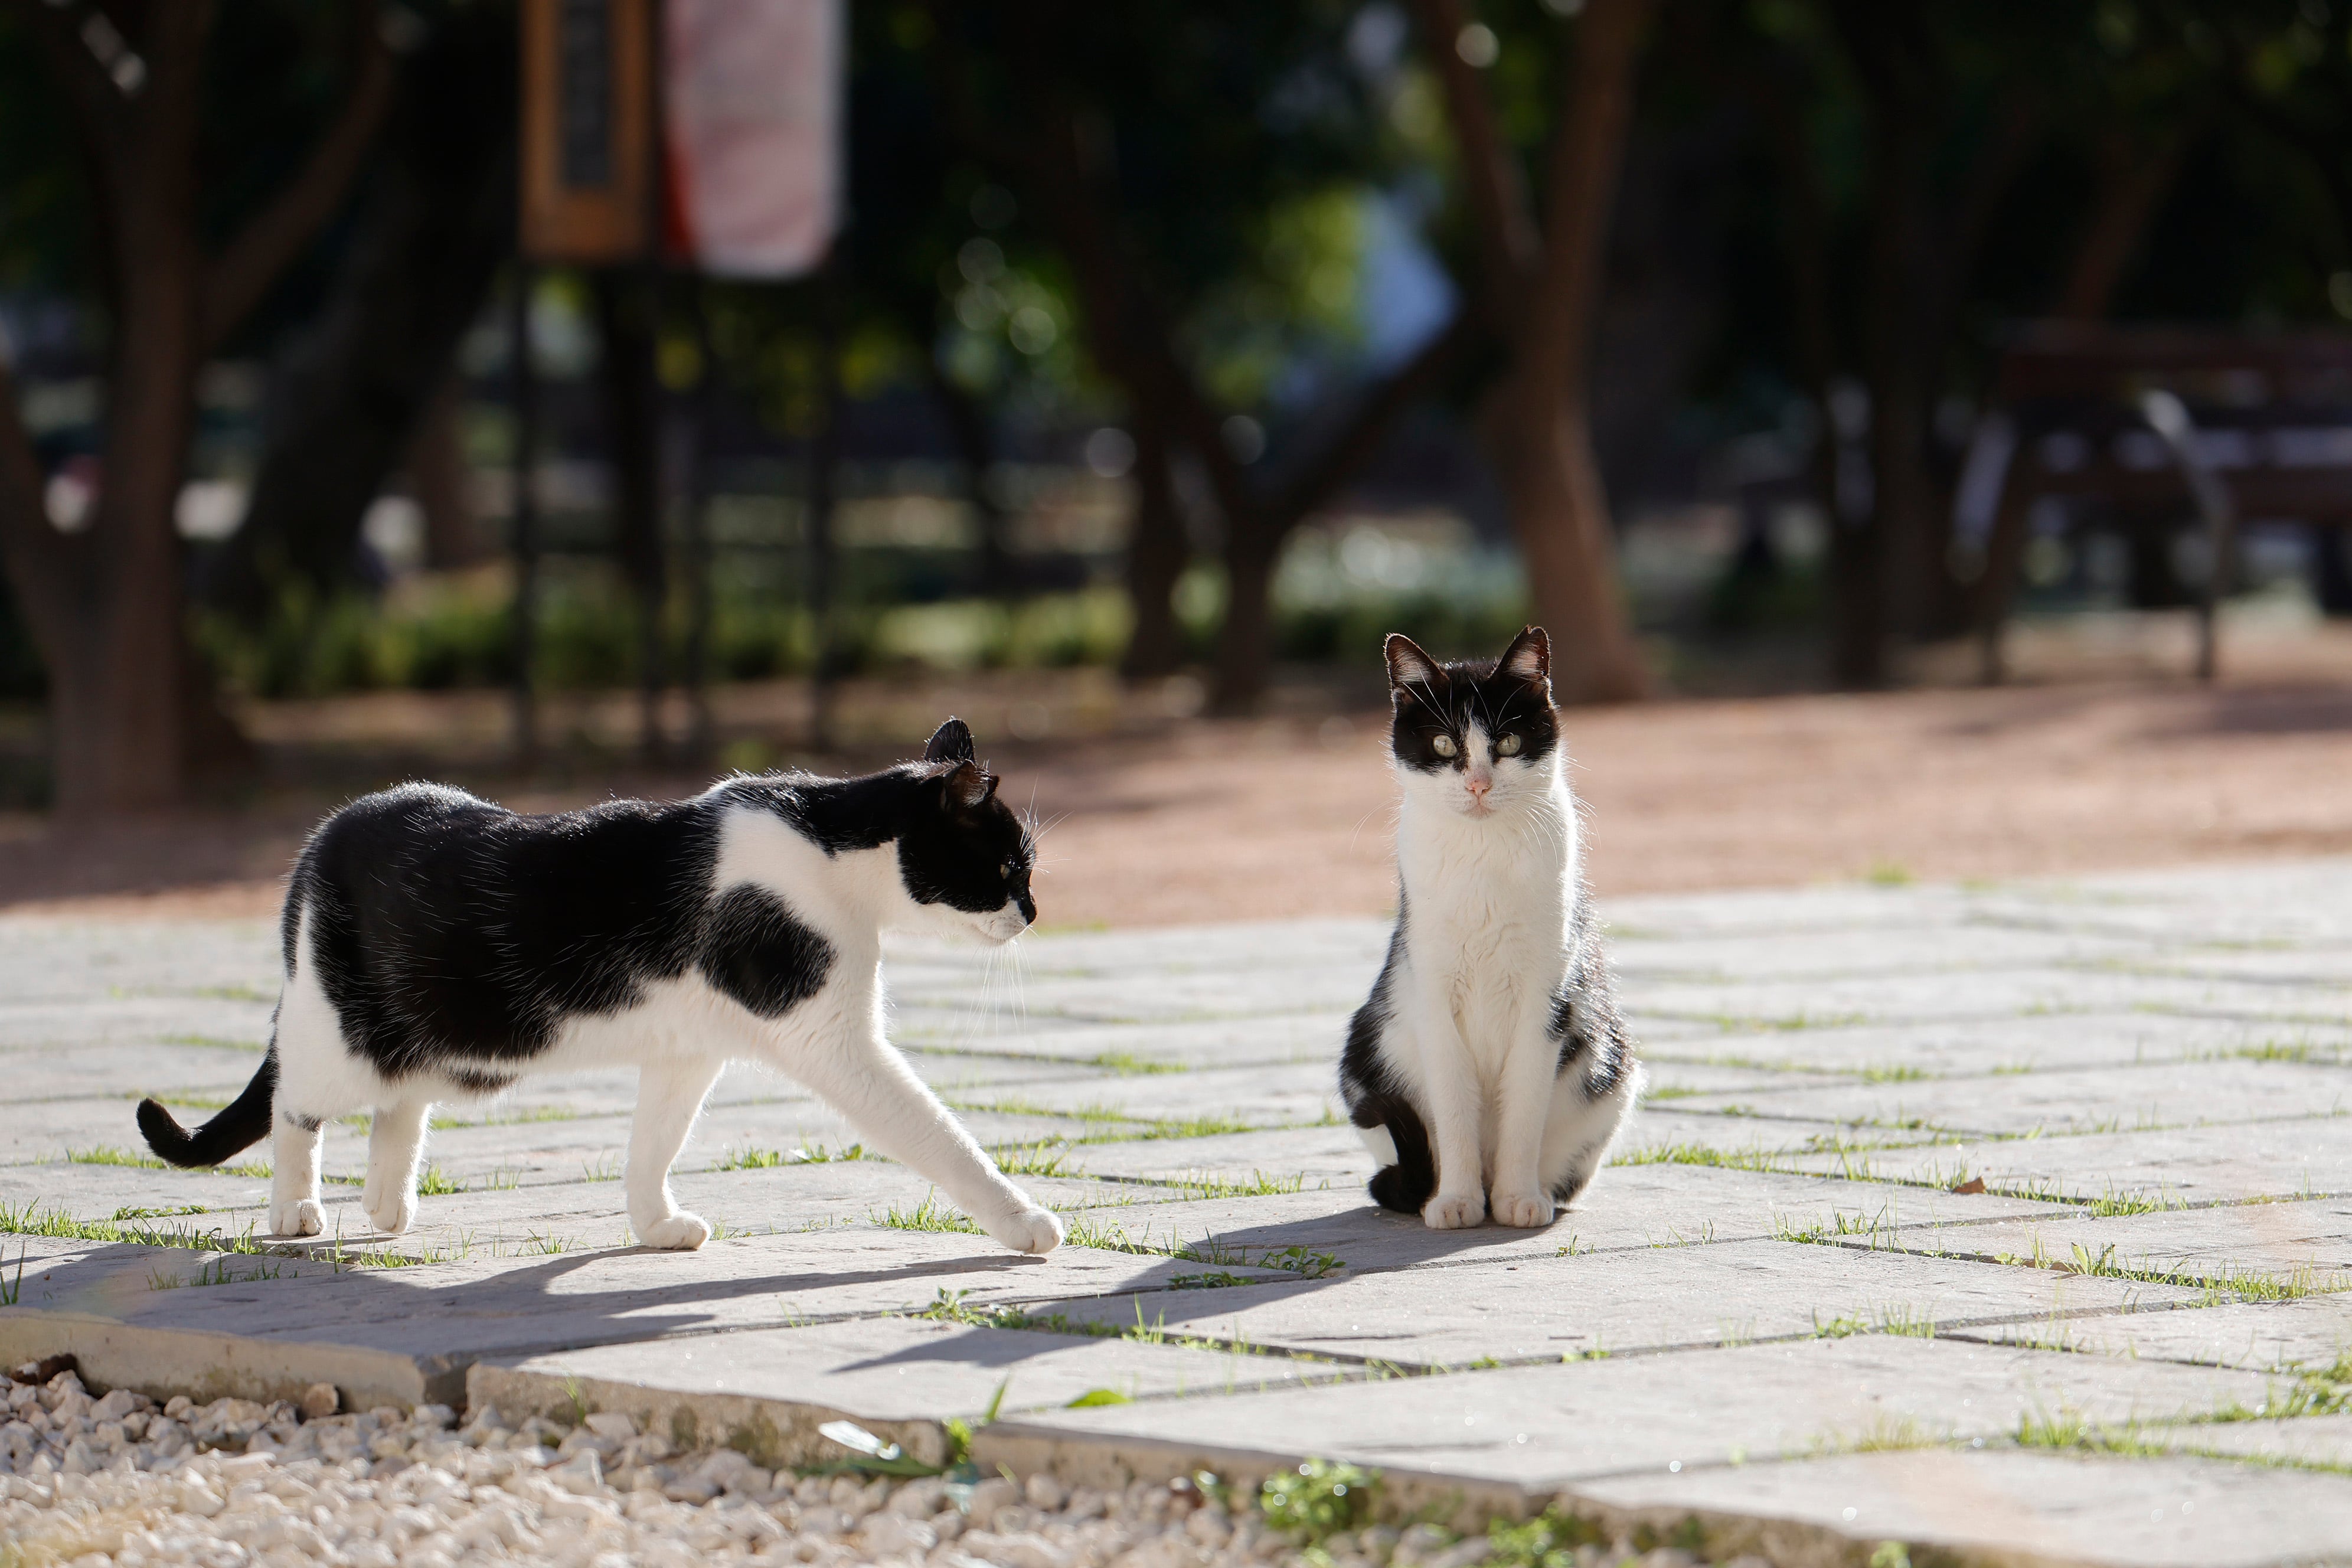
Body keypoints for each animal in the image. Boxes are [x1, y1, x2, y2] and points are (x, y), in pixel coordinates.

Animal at [138, 724, 1067, 1260]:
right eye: (1008, 867)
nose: (1034, 911)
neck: (833, 850)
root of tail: (320, 839)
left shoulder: (688, 1049)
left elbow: (654, 1143)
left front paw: (655, 1226)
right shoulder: (836, 1043)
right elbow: (942, 1136)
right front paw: (1022, 1221)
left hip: (460, 1038)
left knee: (399, 1102)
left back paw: (388, 1205)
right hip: (342, 1031)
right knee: (297, 1100)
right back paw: (295, 1210)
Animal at [1335, 625, 1646, 1222]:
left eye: (1507, 744)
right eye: (1443, 746)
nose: (1478, 784)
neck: (1483, 856)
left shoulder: (1547, 1000)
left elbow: (1524, 1107)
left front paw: (1517, 1200)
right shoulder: (1431, 994)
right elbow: (1455, 1106)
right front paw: (1457, 1202)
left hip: (1613, 1067)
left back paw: (1530, 1191)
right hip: (1364, 1052)